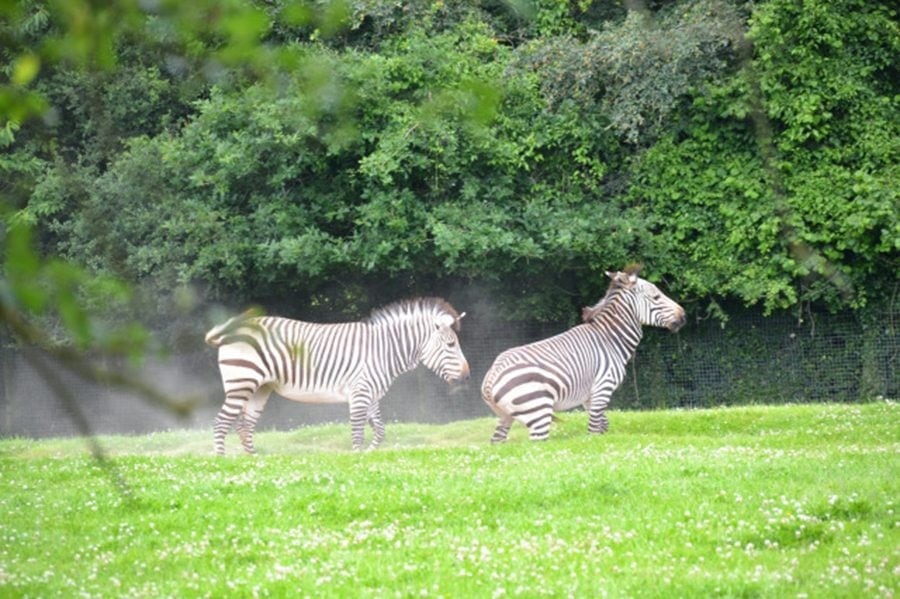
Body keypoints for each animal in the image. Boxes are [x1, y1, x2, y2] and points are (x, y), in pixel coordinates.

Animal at [205, 298, 472, 458]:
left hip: (260, 388)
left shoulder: (372, 394)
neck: (384, 349)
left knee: (244, 426)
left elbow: (379, 431)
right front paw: (355, 458)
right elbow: (357, 430)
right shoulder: (360, 392)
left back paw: (253, 460)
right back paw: (221, 461)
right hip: (241, 383)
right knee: (221, 422)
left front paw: (369, 453)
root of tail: (230, 332)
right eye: (450, 345)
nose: (467, 377)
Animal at [482, 270, 684, 442]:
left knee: (498, 440)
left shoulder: (590, 396)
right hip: (538, 411)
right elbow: (594, 430)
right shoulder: (603, 386)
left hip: (506, 416)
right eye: (656, 297)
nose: (684, 316)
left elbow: (603, 425)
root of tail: (491, 378)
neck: (610, 340)